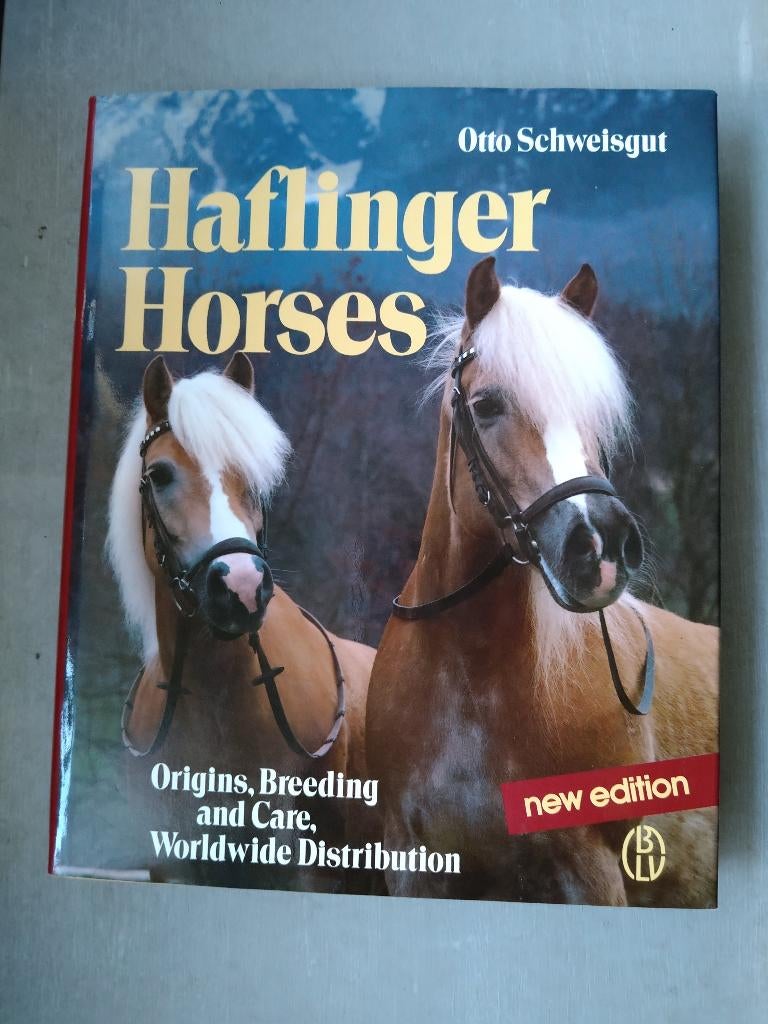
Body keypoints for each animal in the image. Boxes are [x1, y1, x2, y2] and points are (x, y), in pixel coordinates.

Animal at [365, 257, 719, 907]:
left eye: (596, 413)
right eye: (486, 406)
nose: (603, 544)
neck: (472, 676)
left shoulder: (593, 868)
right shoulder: (413, 863)